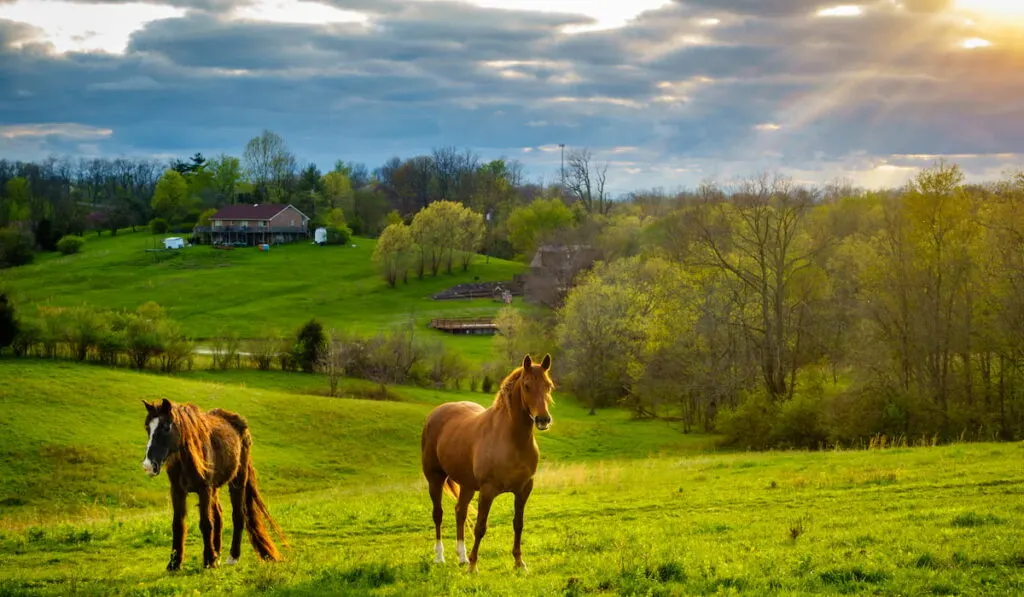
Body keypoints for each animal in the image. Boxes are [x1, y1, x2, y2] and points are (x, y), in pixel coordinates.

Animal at [142, 397, 286, 569]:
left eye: (166, 427)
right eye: (147, 428)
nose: (148, 466)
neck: (187, 458)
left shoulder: (204, 489)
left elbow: (206, 524)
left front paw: (208, 560)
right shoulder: (177, 491)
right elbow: (178, 524)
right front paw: (174, 564)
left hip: (237, 481)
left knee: (238, 515)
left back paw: (233, 556)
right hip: (215, 488)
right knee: (218, 516)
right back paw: (217, 554)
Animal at [421, 352, 557, 573]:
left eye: (549, 386)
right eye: (527, 385)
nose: (543, 420)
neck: (511, 440)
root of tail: (436, 413)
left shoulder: (524, 489)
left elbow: (518, 524)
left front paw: (519, 563)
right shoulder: (487, 490)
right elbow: (480, 527)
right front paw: (473, 567)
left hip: (467, 485)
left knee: (460, 512)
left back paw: (462, 557)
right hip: (435, 478)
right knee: (438, 514)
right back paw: (440, 557)